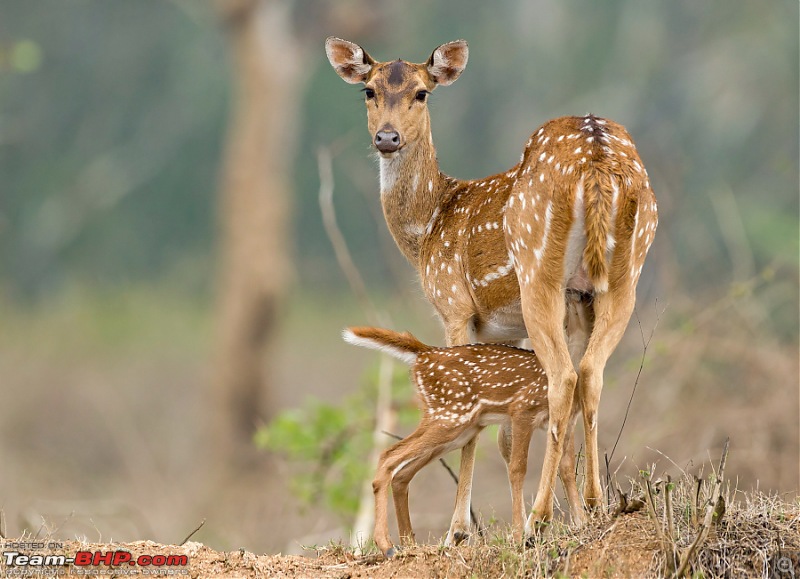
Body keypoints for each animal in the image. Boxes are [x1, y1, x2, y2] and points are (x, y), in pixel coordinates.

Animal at [344, 326, 580, 556]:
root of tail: (424, 352)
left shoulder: (567, 423)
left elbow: (567, 468)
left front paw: (582, 522)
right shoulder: (522, 409)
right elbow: (517, 468)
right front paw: (519, 537)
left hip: (460, 429)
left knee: (402, 473)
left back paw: (409, 544)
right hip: (450, 417)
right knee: (388, 456)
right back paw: (387, 545)